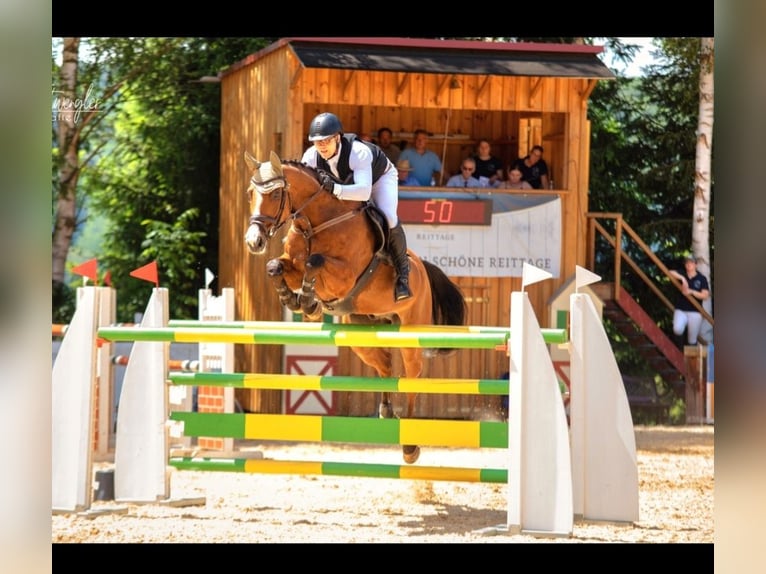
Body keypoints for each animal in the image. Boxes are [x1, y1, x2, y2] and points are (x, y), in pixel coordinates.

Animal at [243, 151, 468, 466]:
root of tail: (423, 268)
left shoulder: (344, 276)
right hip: (362, 332)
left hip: (410, 333)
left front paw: (310, 302)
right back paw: (386, 411)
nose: (254, 242)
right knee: (386, 367)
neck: (316, 223)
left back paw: (410, 446)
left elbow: (314, 262)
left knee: (411, 378)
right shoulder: (291, 264)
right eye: (251, 194)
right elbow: (275, 266)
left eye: (275, 194)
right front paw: (297, 301)